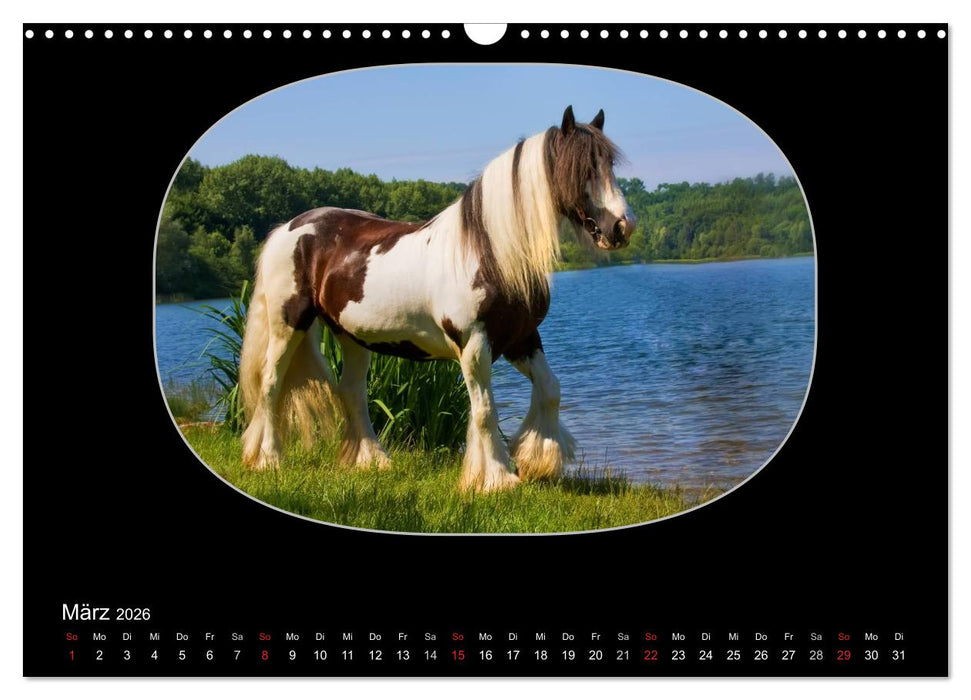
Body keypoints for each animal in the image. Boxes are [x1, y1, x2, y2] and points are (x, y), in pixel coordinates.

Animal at [238, 106, 635, 492]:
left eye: (609, 165)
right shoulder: (474, 345)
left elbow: (550, 390)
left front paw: (538, 462)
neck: (490, 253)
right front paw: (496, 478)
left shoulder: (521, 338)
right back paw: (269, 459)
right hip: (289, 324)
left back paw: (373, 461)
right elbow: (484, 411)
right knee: (271, 383)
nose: (622, 227)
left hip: (350, 336)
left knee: (351, 391)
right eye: (581, 168)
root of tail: (287, 228)